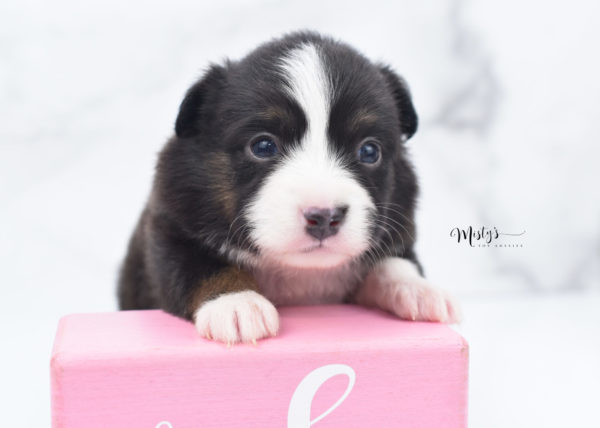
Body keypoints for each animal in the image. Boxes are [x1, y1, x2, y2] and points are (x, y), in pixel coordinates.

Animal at [118, 30, 460, 344]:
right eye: (264, 146)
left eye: (369, 151)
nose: (324, 217)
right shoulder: (169, 226)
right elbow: (199, 265)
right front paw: (237, 303)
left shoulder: (399, 229)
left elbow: (394, 263)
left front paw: (421, 290)